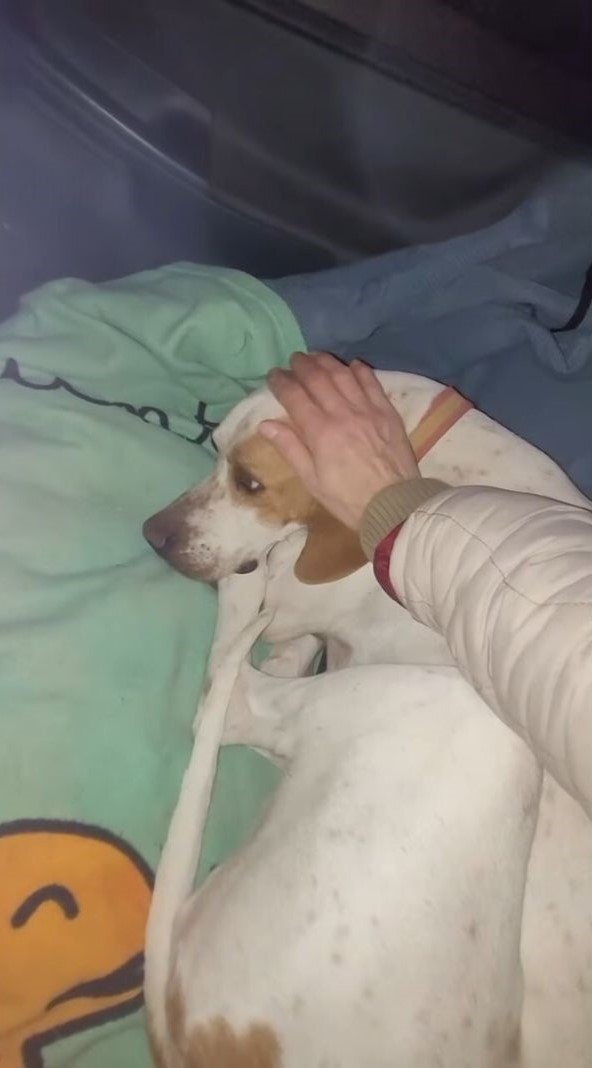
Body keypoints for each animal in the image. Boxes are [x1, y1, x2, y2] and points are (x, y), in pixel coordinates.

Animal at [143, 369, 589, 1068]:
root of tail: (201, 1037)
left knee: (232, 689)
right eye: (213, 449)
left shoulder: (294, 597)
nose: (154, 535)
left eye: (250, 482)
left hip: (479, 721)